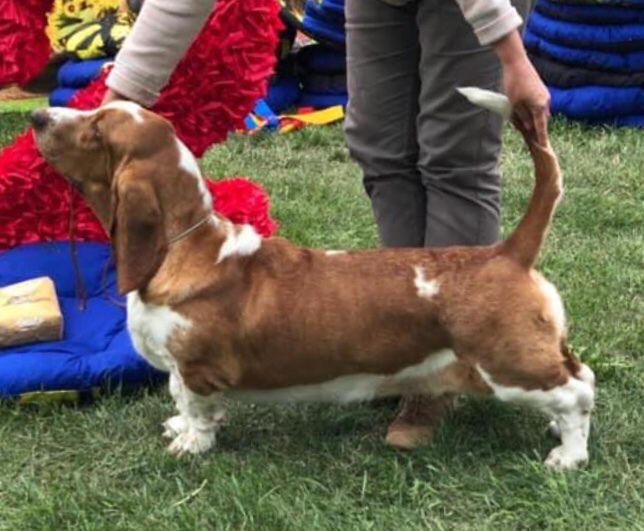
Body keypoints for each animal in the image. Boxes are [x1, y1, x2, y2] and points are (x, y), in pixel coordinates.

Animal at [30, 93, 592, 472]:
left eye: (97, 130)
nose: (38, 116)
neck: (186, 244)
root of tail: (505, 253)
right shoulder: (181, 369)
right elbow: (180, 401)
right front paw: (181, 427)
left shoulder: (195, 369)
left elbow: (196, 408)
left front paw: (190, 444)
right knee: (577, 375)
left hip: (505, 366)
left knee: (579, 393)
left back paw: (569, 454)